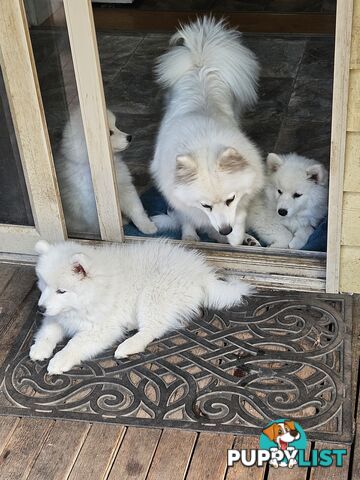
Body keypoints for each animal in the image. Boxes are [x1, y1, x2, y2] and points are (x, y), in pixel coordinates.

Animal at [29, 238, 252, 374]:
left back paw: (128, 345)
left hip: (153, 294)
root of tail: (200, 273)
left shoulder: (101, 328)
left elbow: (75, 343)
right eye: (44, 284)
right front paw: (39, 349)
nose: (40, 308)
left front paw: (59, 360)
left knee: (153, 328)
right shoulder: (57, 316)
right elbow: (48, 331)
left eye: (61, 291)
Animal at [56, 108, 156, 237]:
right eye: (109, 132)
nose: (129, 137)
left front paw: (147, 226)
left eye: (116, 126)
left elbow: (136, 209)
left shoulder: (124, 188)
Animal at [150, 16, 262, 246]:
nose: (225, 229)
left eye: (230, 199)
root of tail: (201, 65)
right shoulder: (176, 193)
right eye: (206, 206)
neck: (202, 142)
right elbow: (187, 217)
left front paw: (237, 236)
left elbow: (239, 214)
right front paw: (190, 236)